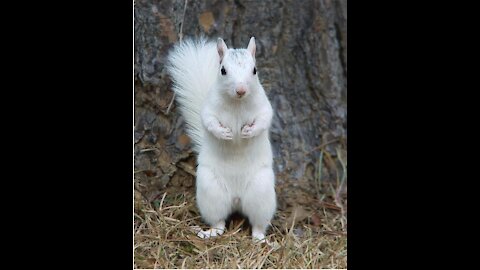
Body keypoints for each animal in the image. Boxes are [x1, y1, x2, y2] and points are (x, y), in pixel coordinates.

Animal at [167, 37, 276, 242]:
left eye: (254, 70)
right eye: (223, 70)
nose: (241, 90)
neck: (237, 103)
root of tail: (236, 198)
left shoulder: (264, 108)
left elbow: (263, 120)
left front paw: (248, 132)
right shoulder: (209, 109)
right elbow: (209, 122)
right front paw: (224, 133)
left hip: (261, 192)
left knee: (258, 224)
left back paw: (262, 239)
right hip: (211, 191)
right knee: (218, 223)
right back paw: (207, 232)